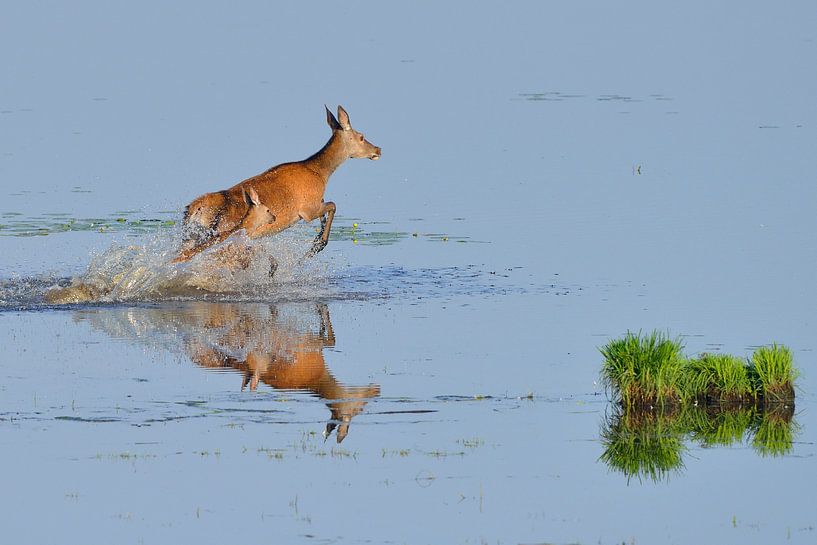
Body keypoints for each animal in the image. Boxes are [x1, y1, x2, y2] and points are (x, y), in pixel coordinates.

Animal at [172, 105, 381, 267]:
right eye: (362, 136)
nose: (378, 149)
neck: (321, 173)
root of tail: (195, 209)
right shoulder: (307, 209)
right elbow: (333, 205)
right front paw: (314, 248)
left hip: (190, 238)